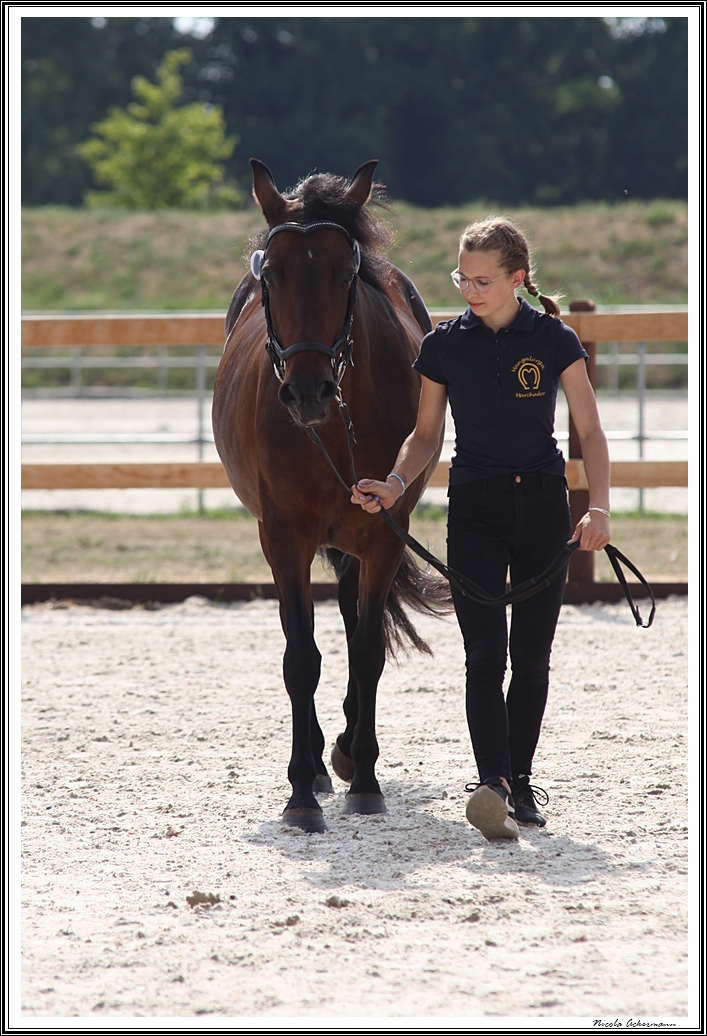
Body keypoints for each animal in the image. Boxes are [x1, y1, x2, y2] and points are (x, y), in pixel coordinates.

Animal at [210, 157, 445, 832]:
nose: (308, 392)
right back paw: (317, 763)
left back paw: (342, 752)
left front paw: (364, 777)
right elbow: (300, 658)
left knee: (351, 616)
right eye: (273, 272)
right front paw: (300, 790)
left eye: (345, 273)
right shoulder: (283, 539)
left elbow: (365, 650)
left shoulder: (383, 532)